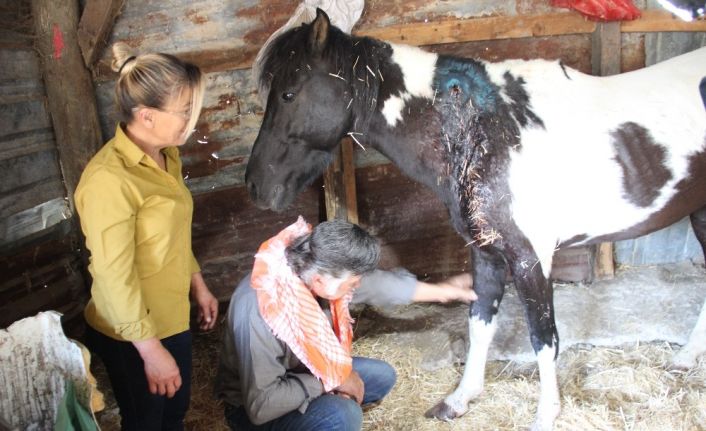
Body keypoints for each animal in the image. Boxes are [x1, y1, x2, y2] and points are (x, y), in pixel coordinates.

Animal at [243, 8, 704, 430]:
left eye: (288, 94)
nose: (255, 185)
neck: (485, 130)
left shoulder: (531, 260)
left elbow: (544, 338)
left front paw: (546, 414)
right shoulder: (486, 250)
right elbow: (480, 322)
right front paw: (460, 400)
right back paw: (683, 360)